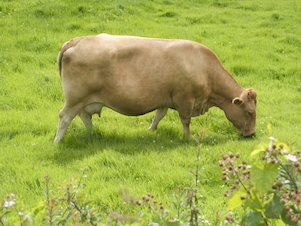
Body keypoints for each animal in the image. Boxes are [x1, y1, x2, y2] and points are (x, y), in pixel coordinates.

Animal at [54, 33, 255, 143]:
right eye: (250, 113)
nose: (252, 134)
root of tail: (76, 40)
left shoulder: (165, 98)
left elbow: (159, 115)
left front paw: (150, 130)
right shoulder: (185, 99)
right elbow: (185, 121)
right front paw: (188, 138)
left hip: (82, 100)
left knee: (83, 116)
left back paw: (93, 134)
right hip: (75, 98)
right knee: (65, 117)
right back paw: (57, 141)